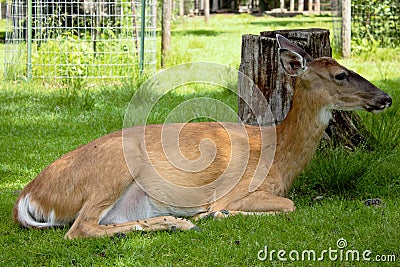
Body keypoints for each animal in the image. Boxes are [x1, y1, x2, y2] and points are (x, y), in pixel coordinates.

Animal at [11, 34, 390, 240]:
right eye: (340, 75)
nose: (385, 97)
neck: (279, 156)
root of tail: (28, 194)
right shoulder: (238, 190)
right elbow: (287, 206)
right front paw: (212, 215)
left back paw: (172, 222)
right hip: (111, 170)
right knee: (79, 228)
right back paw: (181, 223)